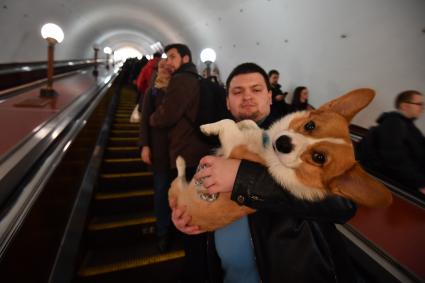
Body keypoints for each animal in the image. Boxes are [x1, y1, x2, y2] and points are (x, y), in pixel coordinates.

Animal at [167, 89, 392, 233]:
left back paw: (180, 162)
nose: (282, 142)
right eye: (310, 125)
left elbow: (229, 122)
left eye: (319, 158)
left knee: (177, 179)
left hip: (174, 190)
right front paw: (246, 124)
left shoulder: (234, 147)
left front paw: (208, 127)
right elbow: (249, 123)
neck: (267, 147)